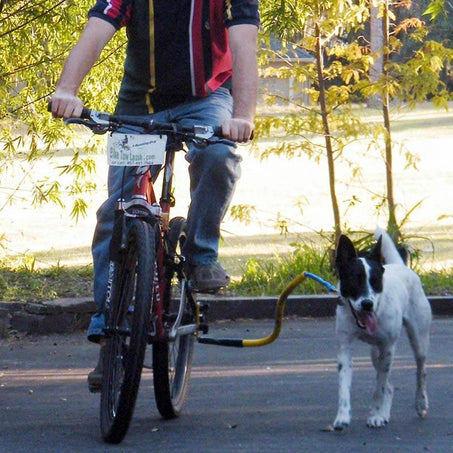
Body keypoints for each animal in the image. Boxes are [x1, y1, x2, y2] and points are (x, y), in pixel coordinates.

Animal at [332, 228, 430, 430]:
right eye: (354, 281)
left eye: (376, 281)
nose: (367, 304)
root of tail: (401, 266)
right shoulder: (345, 349)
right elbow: (344, 387)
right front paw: (343, 416)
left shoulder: (388, 349)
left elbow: (379, 387)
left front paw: (376, 414)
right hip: (375, 353)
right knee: (390, 387)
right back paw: (385, 413)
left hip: (419, 340)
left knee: (420, 371)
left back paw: (421, 403)